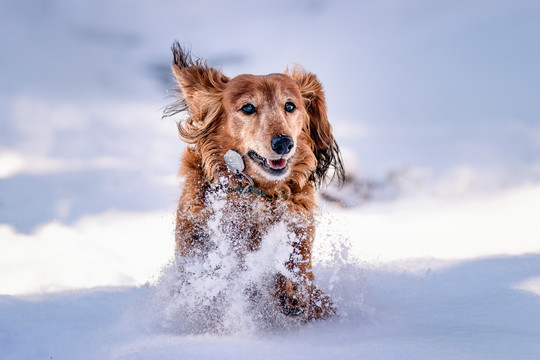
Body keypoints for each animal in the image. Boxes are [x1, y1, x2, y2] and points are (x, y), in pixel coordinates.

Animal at [162, 42, 344, 320]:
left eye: (290, 106)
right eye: (248, 107)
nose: (283, 143)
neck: (260, 193)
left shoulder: (298, 228)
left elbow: (295, 265)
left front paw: (291, 290)